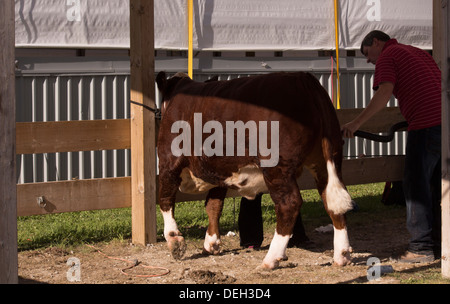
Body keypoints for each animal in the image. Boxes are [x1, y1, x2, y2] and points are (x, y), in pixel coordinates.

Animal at [156, 70, 354, 268]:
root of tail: (302, 78)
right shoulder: (219, 171)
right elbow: (213, 206)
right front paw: (210, 244)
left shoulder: (168, 162)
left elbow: (165, 199)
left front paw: (174, 240)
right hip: (328, 161)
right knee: (332, 202)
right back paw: (341, 255)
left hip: (277, 167)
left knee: (289, 204)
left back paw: (270, 259)